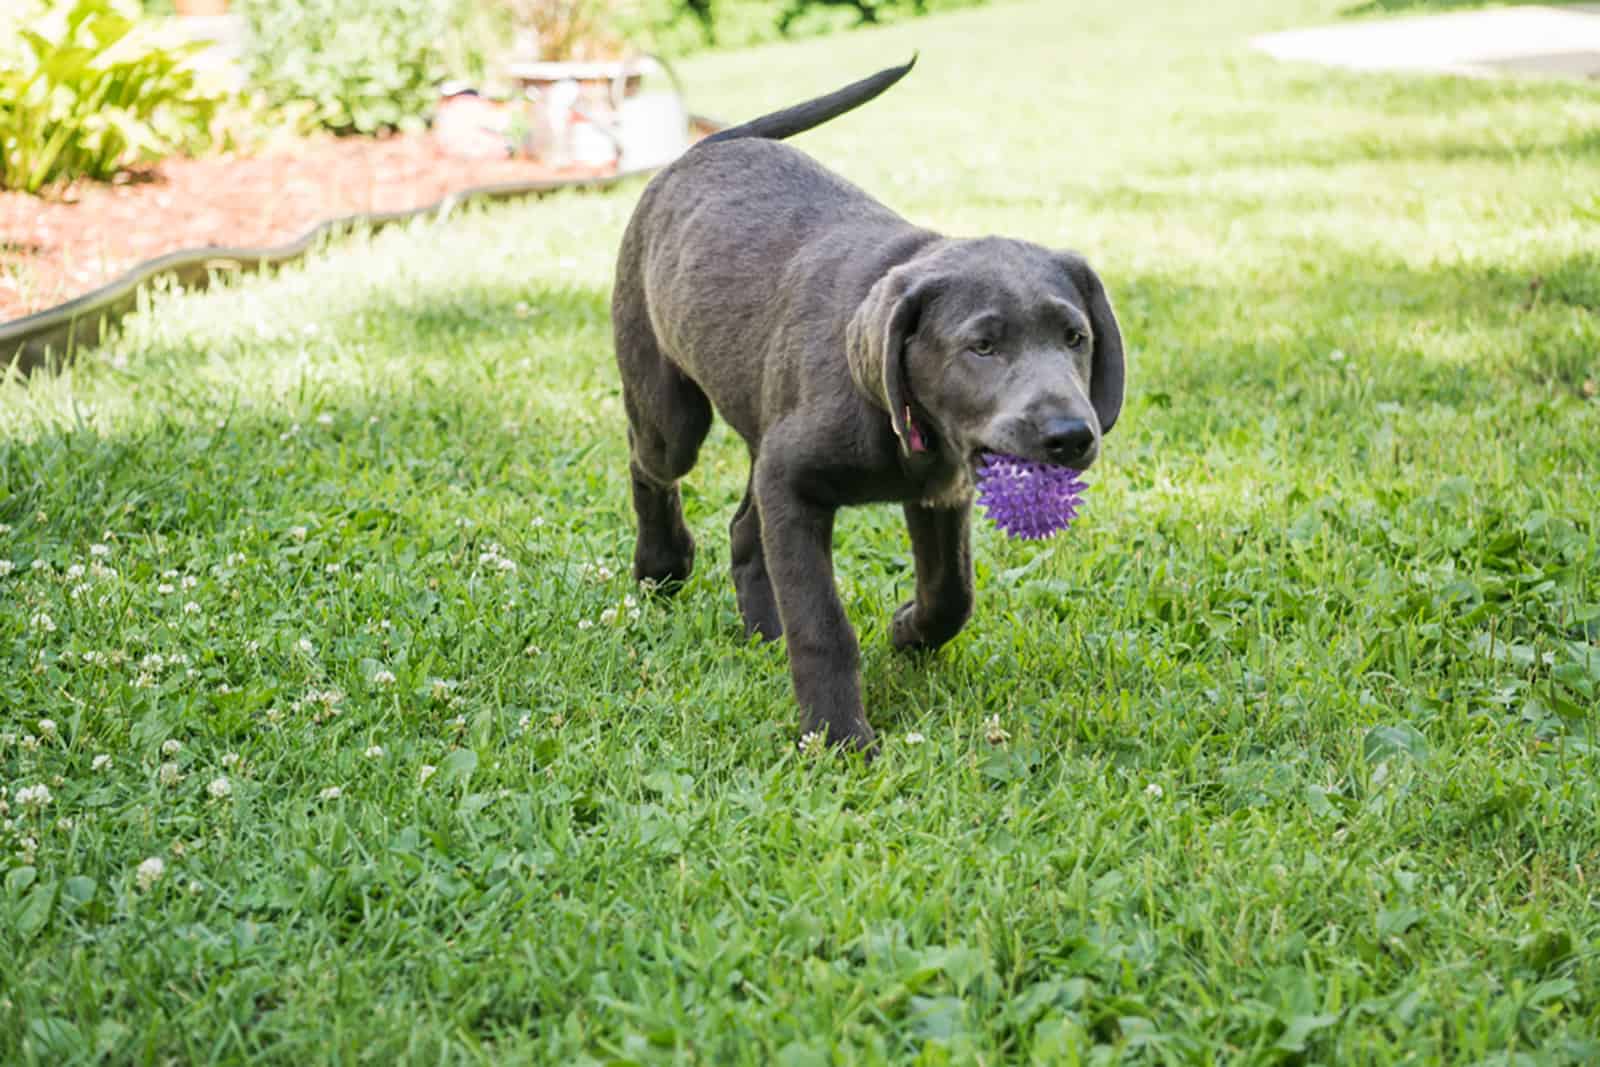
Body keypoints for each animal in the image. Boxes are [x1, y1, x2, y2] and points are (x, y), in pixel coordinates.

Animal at [611, 58, 1126, 755]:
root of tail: (705, 147)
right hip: (672, 411)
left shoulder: (938, 495)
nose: (1071, 435)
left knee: (744, 527)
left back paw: (762, 631)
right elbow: (822, 621)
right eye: (982, 346)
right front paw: (838, 737)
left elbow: (952, 594)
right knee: (651, 464)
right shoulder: (793, 484)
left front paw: (908, 629)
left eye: (1076, 337)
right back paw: (661, 566)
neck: (908, 428)